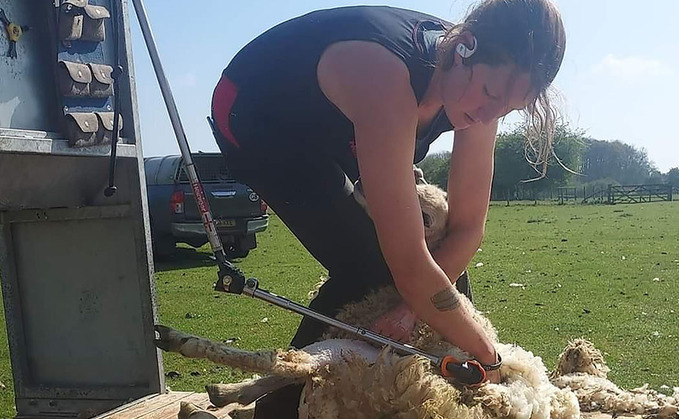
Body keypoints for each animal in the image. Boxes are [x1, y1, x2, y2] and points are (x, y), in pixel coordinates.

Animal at [155, 170, 679, 419]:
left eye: (426, 217)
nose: (365, 182)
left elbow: (280, 364)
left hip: (362, 357)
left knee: (283, 361)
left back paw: (181, 349)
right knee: (287, 368)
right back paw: (216, 392)